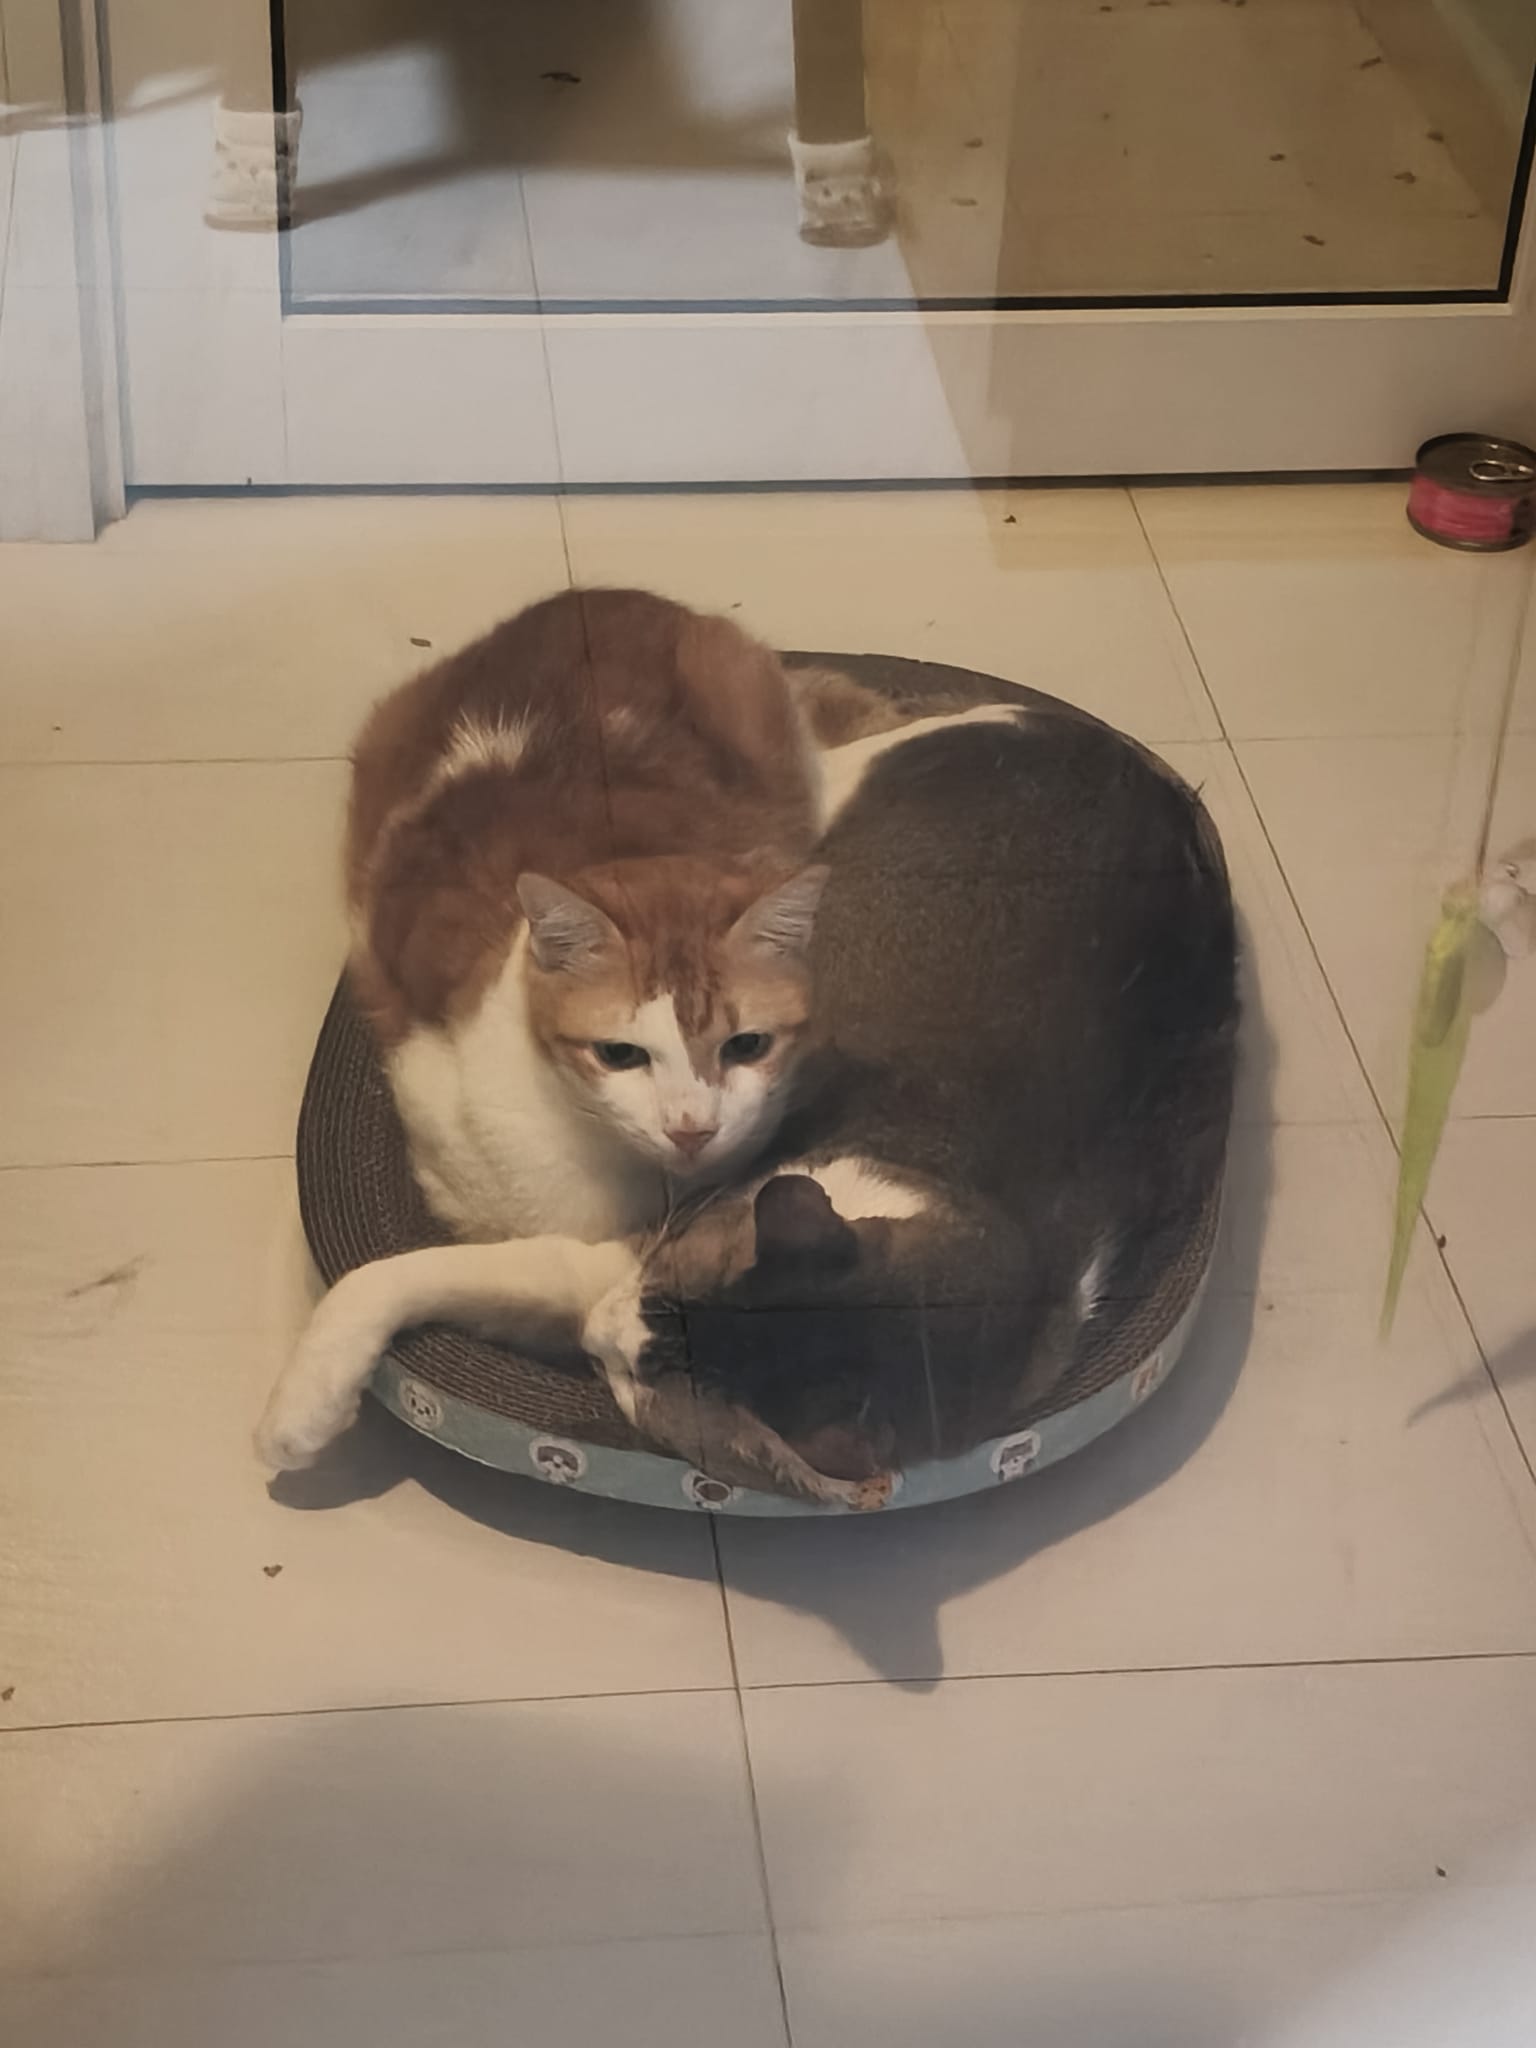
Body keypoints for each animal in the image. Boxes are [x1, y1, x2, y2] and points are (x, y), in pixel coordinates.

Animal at [259, 693, 1236, 1488]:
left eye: (646, 1384)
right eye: (661, 1297)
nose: (594, 1338)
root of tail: (1139, 764)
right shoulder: (629, 1244)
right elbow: (384, 1278)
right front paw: (297, 1414)